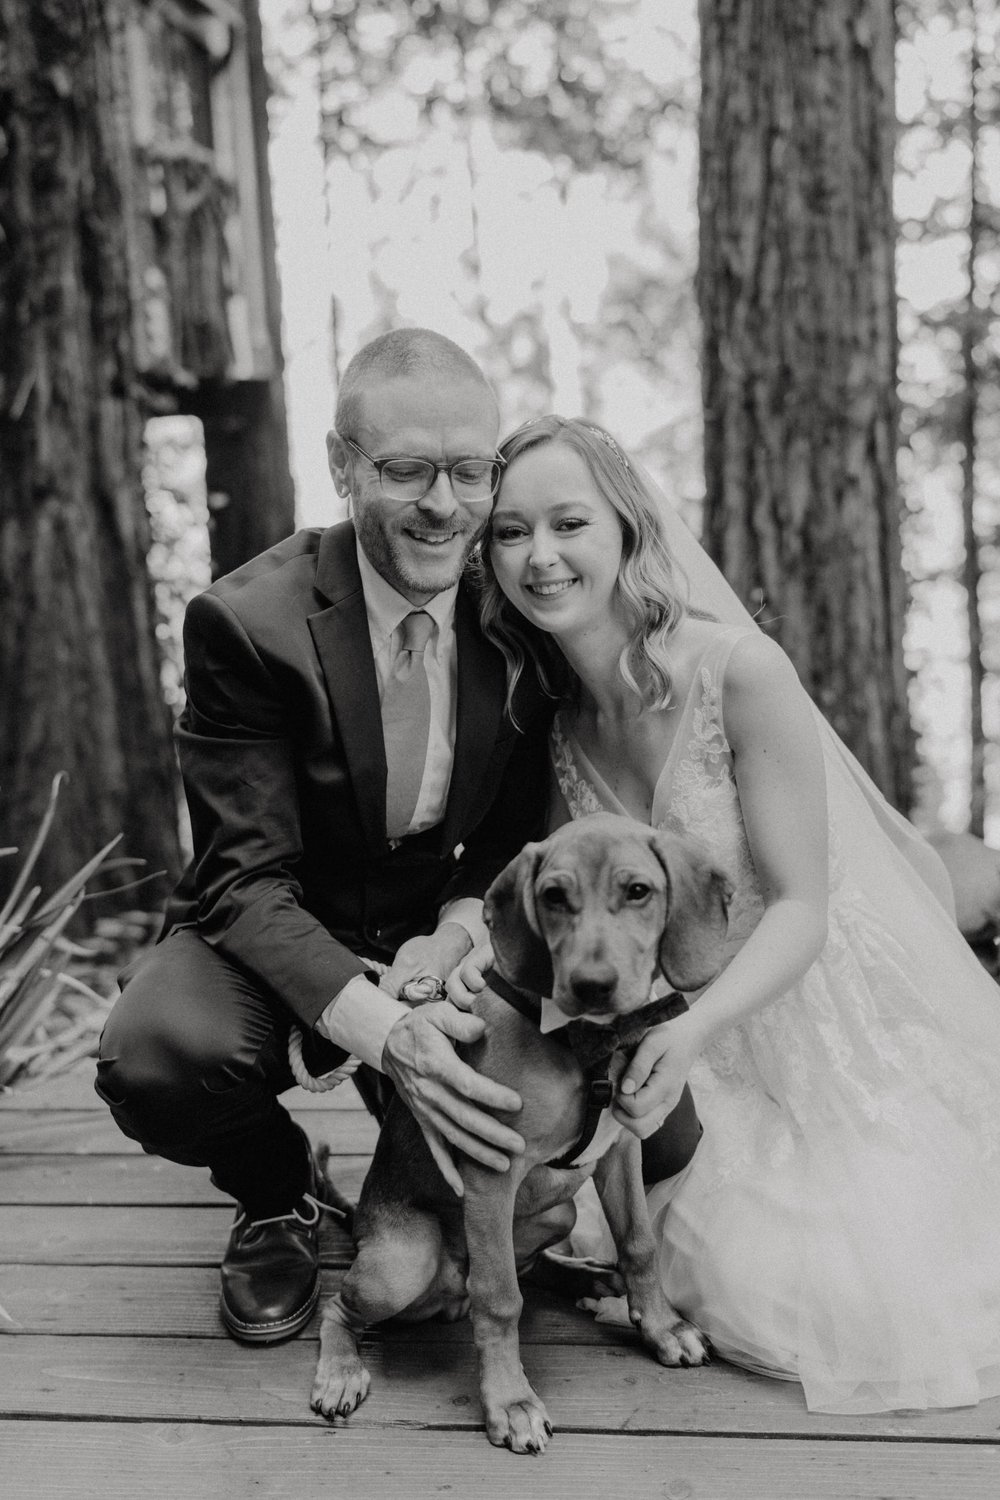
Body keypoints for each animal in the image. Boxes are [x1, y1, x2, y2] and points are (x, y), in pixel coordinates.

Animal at [308, 816, 731, 1458]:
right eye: (553, 897)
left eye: (639, 892)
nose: (593, 984)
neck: (588, 1040)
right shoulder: (494, 1171)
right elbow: (500, 1298)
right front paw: (511, 1403)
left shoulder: (621, 1147)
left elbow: (639, 1242)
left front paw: (662, 1327)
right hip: (403, 1262)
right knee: (342, 1306)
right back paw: (340, 1371)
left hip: (556, 1211)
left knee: (535, 1263)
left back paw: (587, 1275)